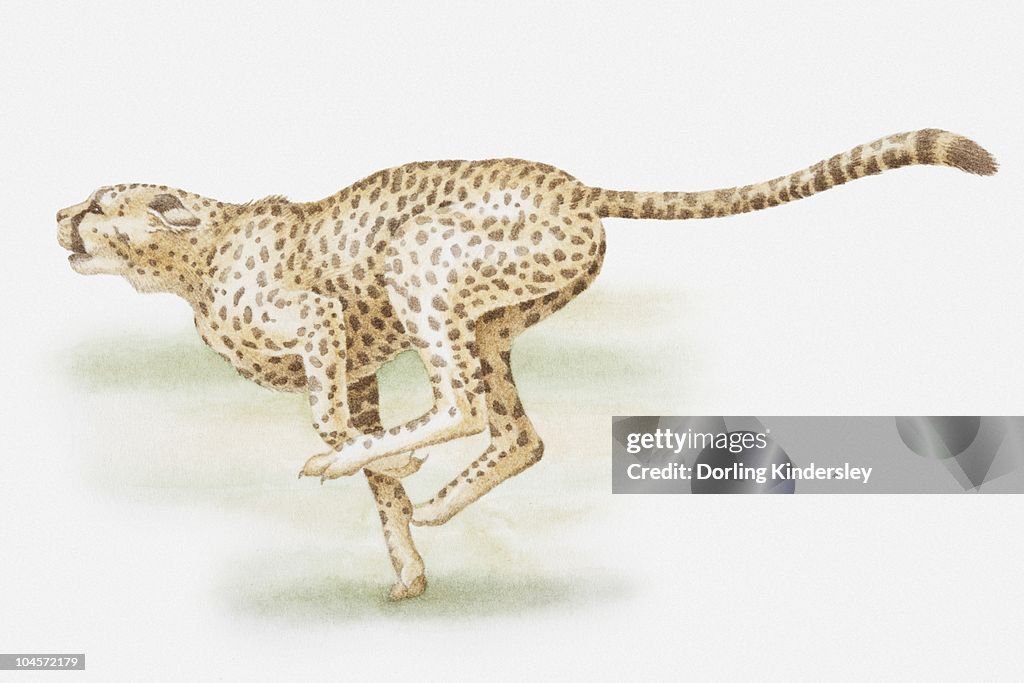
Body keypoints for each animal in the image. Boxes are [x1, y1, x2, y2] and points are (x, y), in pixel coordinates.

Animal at [57, 128, 996, 599]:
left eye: (104, 203)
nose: (60, 214)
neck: (191, 259)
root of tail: (570, 182)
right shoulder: (359, 370)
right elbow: (374, 478)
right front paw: (407, 557)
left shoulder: (325, 325)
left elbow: (332, 422)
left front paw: (366, 461)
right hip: (491, 321)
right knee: (519, 432)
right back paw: (440, 504)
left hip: (421, 260)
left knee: (464, 404)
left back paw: (416, 470)